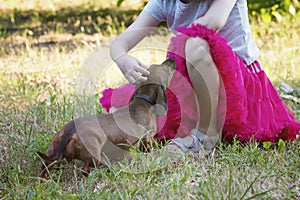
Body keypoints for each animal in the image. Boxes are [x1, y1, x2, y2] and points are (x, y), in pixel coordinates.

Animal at [37, 57, 176, 178]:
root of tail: (70, 129)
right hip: (93, 154)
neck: (142, 101)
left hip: (52, 150)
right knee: (86, 170)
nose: (172, 59)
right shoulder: (147, 139)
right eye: (166, 69)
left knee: (46, 165)